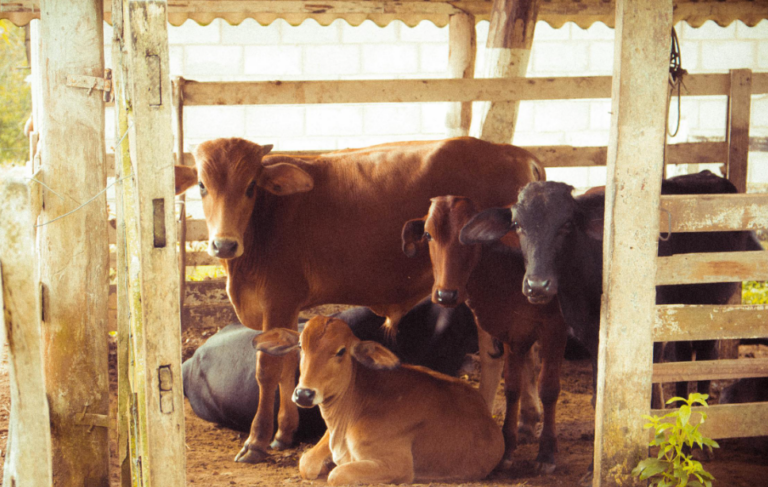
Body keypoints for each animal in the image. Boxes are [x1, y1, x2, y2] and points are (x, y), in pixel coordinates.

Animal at [176, 135, 544, 464]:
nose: (224, 244)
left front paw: (256, 441)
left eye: (251, 186)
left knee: (500, 355)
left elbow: (268, 371)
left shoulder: (277, 300)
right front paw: (284, 432)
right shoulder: (286, 308)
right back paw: (528, 421)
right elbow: (288, 363)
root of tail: (518, 154)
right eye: (202, 186)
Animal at [252, 316, 504, 484]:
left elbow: (337, 475)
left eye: (341, 351)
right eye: (301, 346)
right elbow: (306, 463)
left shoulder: (397, 465)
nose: (304, 394)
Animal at [402, 196, 568, 474]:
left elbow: (548, 388)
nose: (446, 295)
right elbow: (512, 388)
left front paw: (546, 452)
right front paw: (507, 449)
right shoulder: (513, 333)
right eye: (427, 234)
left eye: (469, 237)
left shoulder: (554, 329)